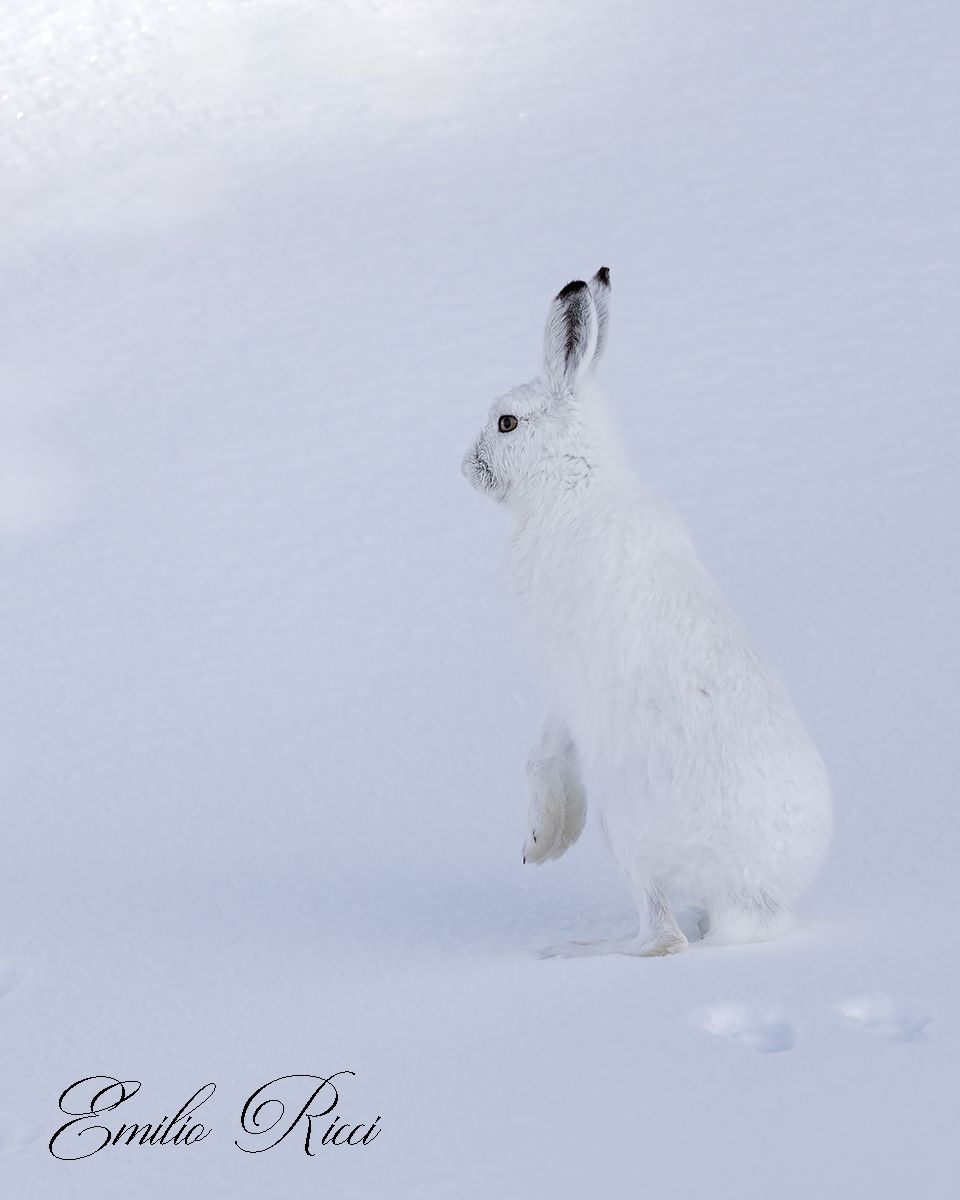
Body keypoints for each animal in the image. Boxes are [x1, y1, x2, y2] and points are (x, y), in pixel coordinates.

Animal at [462, 268, 831, 956]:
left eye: (506, 423)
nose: (466, 467)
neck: (573, 485)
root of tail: (754, 901)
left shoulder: (565, 675)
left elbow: (539, 754)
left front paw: (541, 841)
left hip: (628, 831)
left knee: (664, 938)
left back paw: (579, 953)